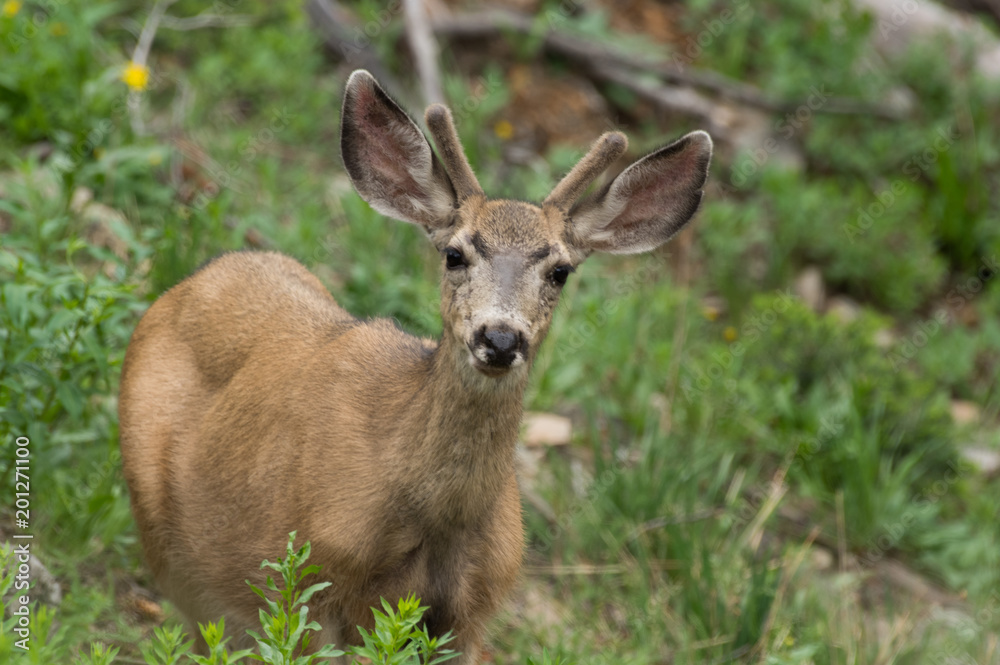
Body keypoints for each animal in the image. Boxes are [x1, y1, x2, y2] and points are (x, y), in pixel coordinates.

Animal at [117, 70, 712, 660]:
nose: (500, 338)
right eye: (454, 254)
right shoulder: (313, 591)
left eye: (560, 271)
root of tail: (191, 282)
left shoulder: (470, 615)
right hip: (177, 566)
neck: (438, 524)